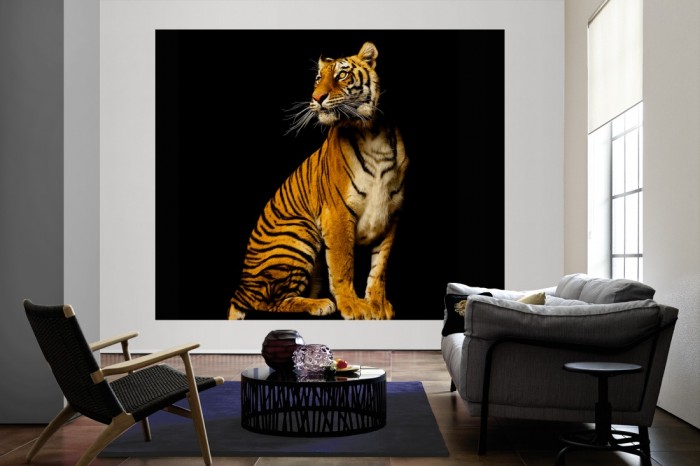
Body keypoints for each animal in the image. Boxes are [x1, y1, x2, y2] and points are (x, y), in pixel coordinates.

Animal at [228, 41, 408, 320]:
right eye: (317, 78)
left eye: (342, 75)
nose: (316, 98)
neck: (372, 132)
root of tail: (242, 286)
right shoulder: (337, 213)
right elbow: (343, 264)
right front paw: (354, 306)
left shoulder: (391, 214)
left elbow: (380, 267)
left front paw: (378, 305)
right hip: (300, 232)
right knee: (267, 302)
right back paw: (319, 304)